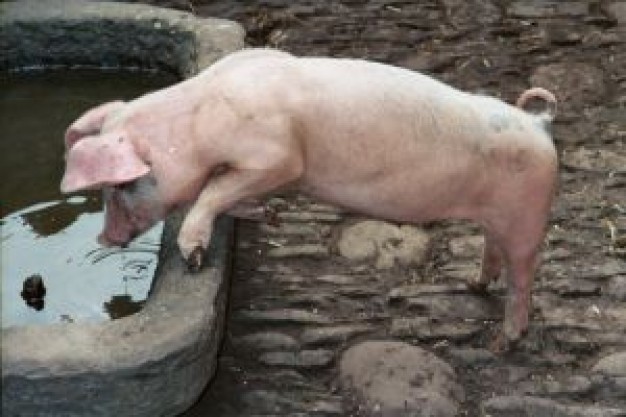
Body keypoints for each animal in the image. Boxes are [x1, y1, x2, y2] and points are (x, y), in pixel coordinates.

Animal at [59, 48, 556, 344]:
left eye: (122, 185)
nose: (104, 240)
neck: (196, 127)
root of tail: (538, 124)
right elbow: (226, 192)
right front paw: (270, 214)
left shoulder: (279, 158)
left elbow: (212, 192)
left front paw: (195, 256)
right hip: (496, 218)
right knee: (493, 251)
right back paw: (473, 285)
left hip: (527, 217)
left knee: (524, 276)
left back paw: (509, 338)